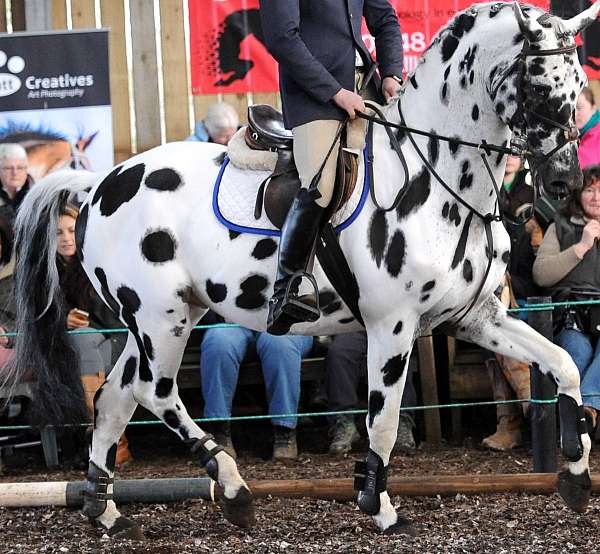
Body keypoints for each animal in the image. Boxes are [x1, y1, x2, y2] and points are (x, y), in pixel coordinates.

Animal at [5, 1, 600, 540]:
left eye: (577, 86)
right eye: (540, 88)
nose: (565, 186)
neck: (435, 178)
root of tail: (98, 183)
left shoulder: (475, 316)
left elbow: (563, 364)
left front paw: (574, 474)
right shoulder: (393, 325)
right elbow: (382, 420)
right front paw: (378, 506)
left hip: (159, 319)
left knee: (115, 397)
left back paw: (104, 510)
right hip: (160, 318)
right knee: (155, 392)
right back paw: (233, 489)